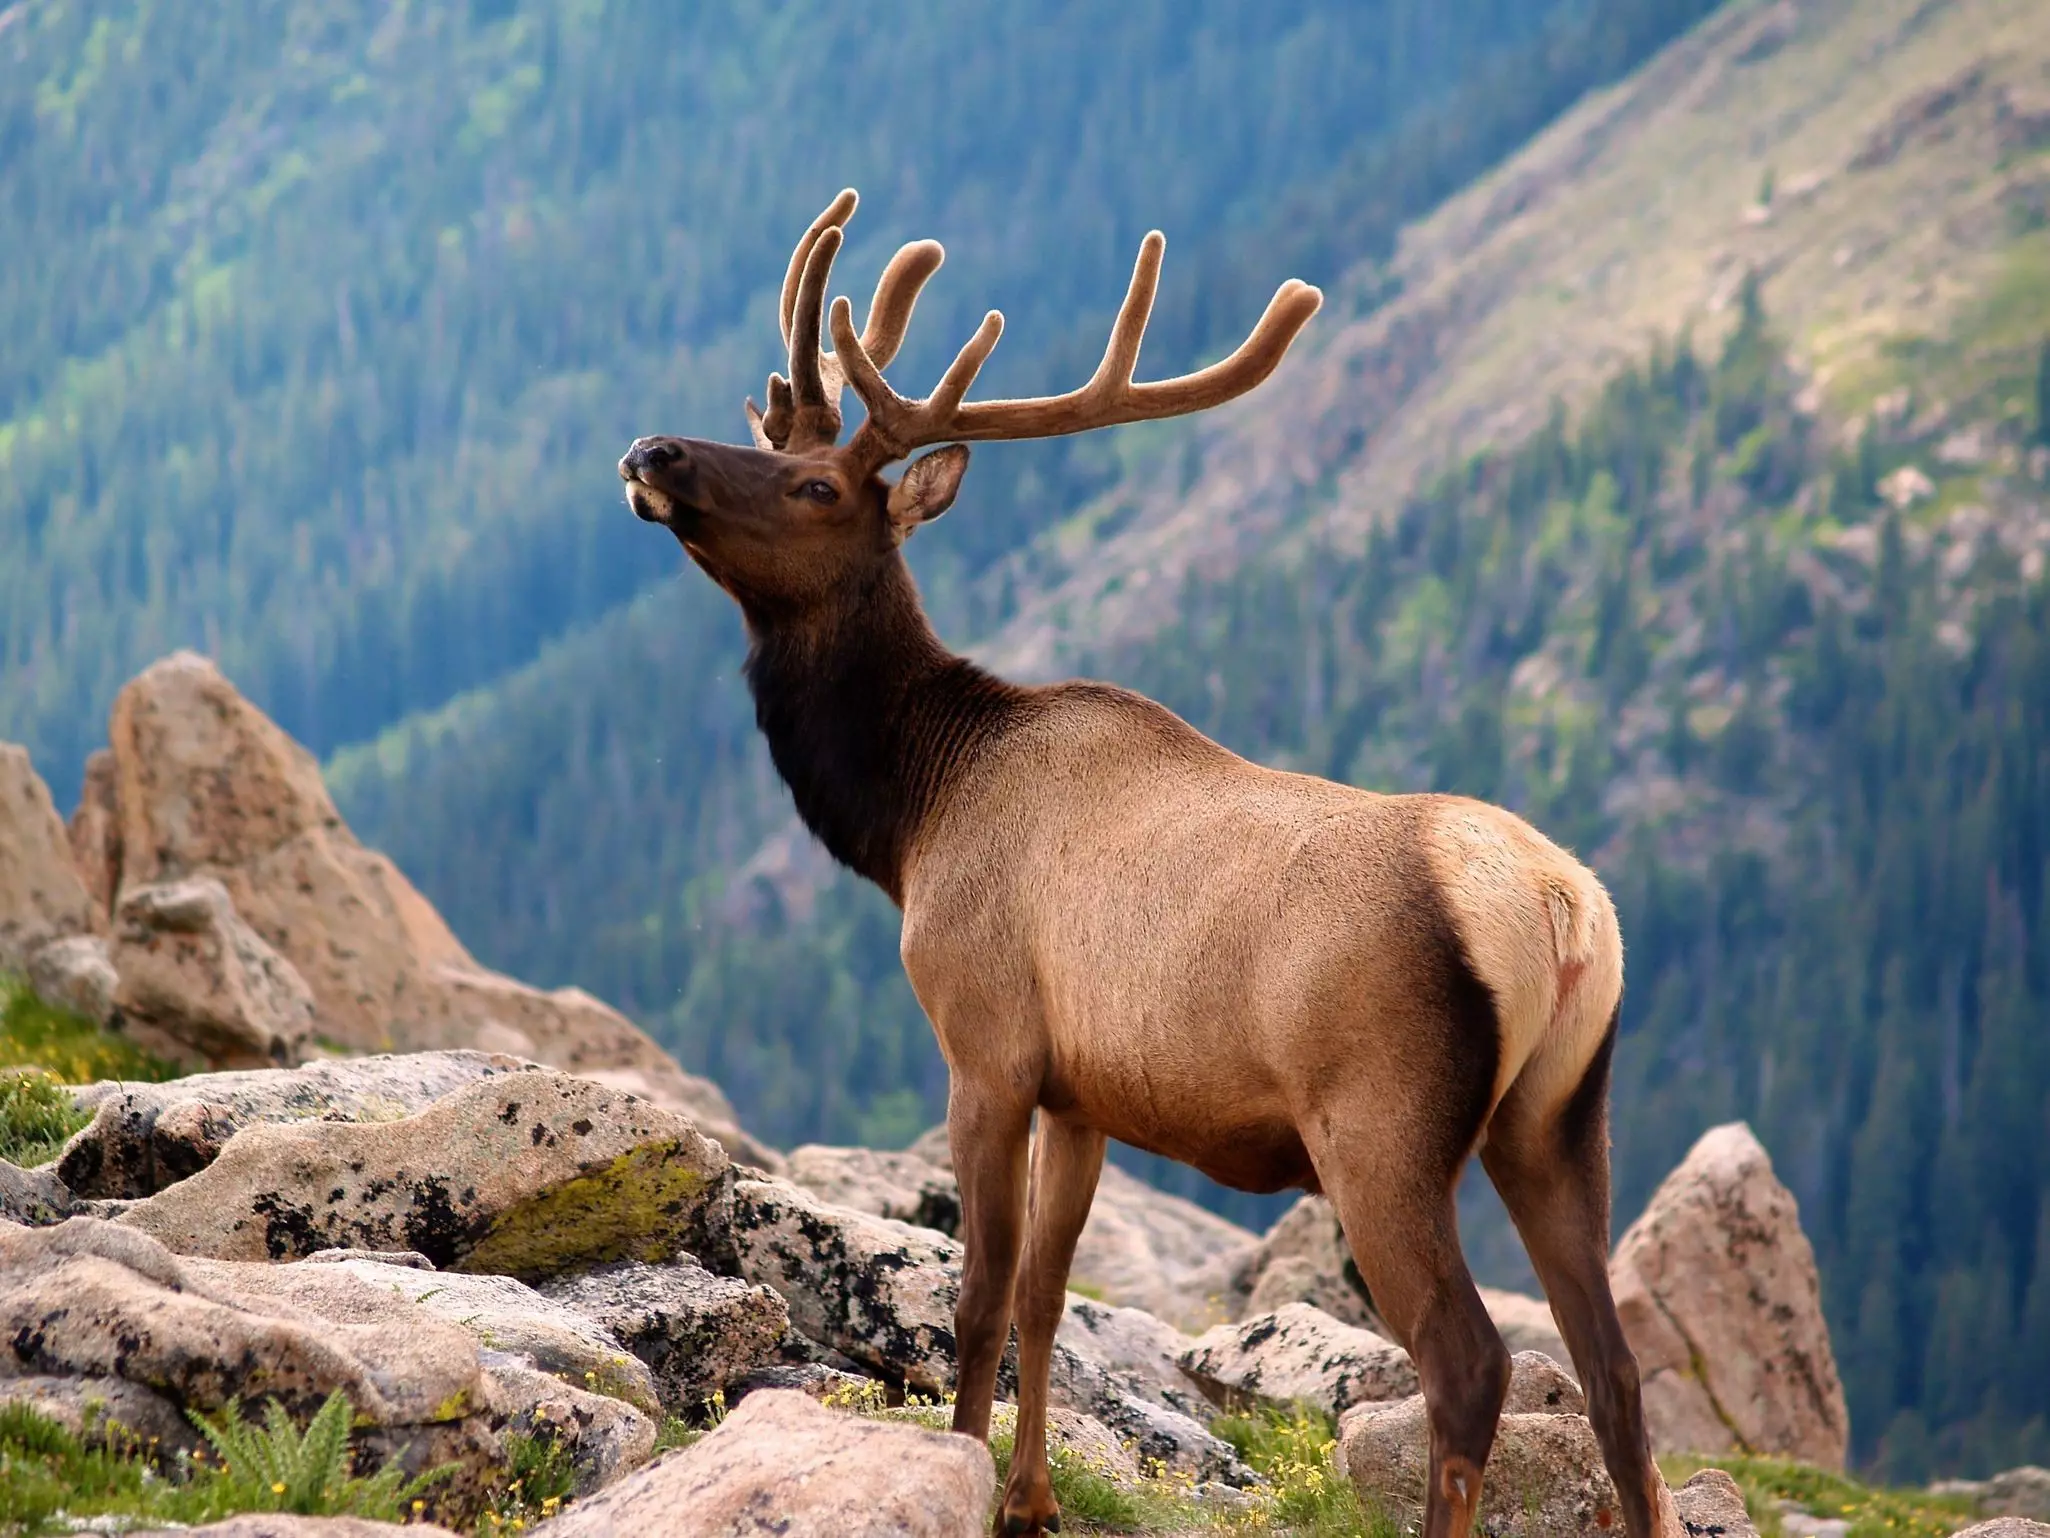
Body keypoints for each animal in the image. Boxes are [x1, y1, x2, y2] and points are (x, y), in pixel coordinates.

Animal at [619, 189, 1678, 1538]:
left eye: (813, 483)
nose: (653, 450)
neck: (910, 816)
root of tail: (1558, 909)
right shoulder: (1086, 1091)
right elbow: (1046, 1293)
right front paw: (1028, 1500)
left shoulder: (986, 1039)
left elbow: (979, 1295)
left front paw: (970, 1476)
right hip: (1560, 1113)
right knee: (1616, 1373)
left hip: (1380, 1121)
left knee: (1470, 1360)